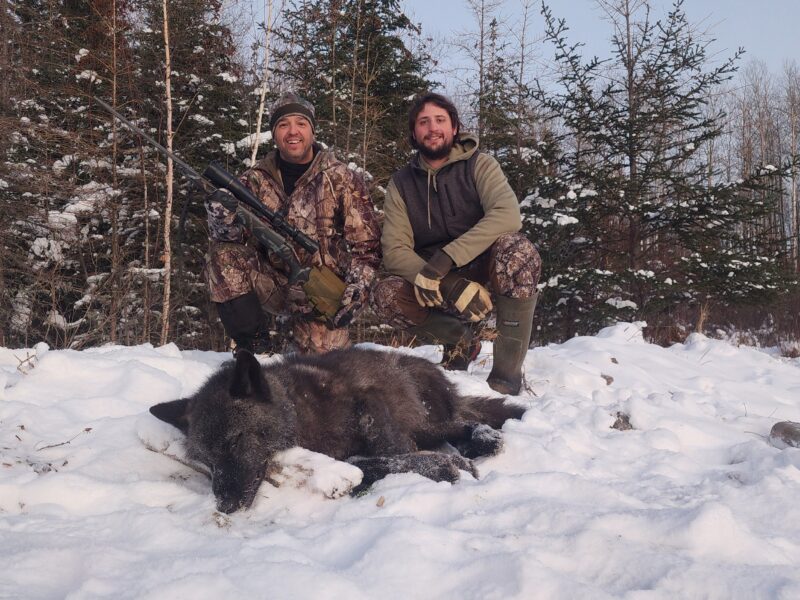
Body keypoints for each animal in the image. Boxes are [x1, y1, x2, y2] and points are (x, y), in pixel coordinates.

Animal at [150, 346, 524, 510]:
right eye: (207, 461)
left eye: (236, 439)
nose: (224, 506)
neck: (299, 413)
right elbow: (365, 463)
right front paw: (442, 464)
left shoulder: (369, 402)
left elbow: (392, 451)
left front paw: (441, 465)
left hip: (418, 406)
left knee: (449, 424)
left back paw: (478, 440)